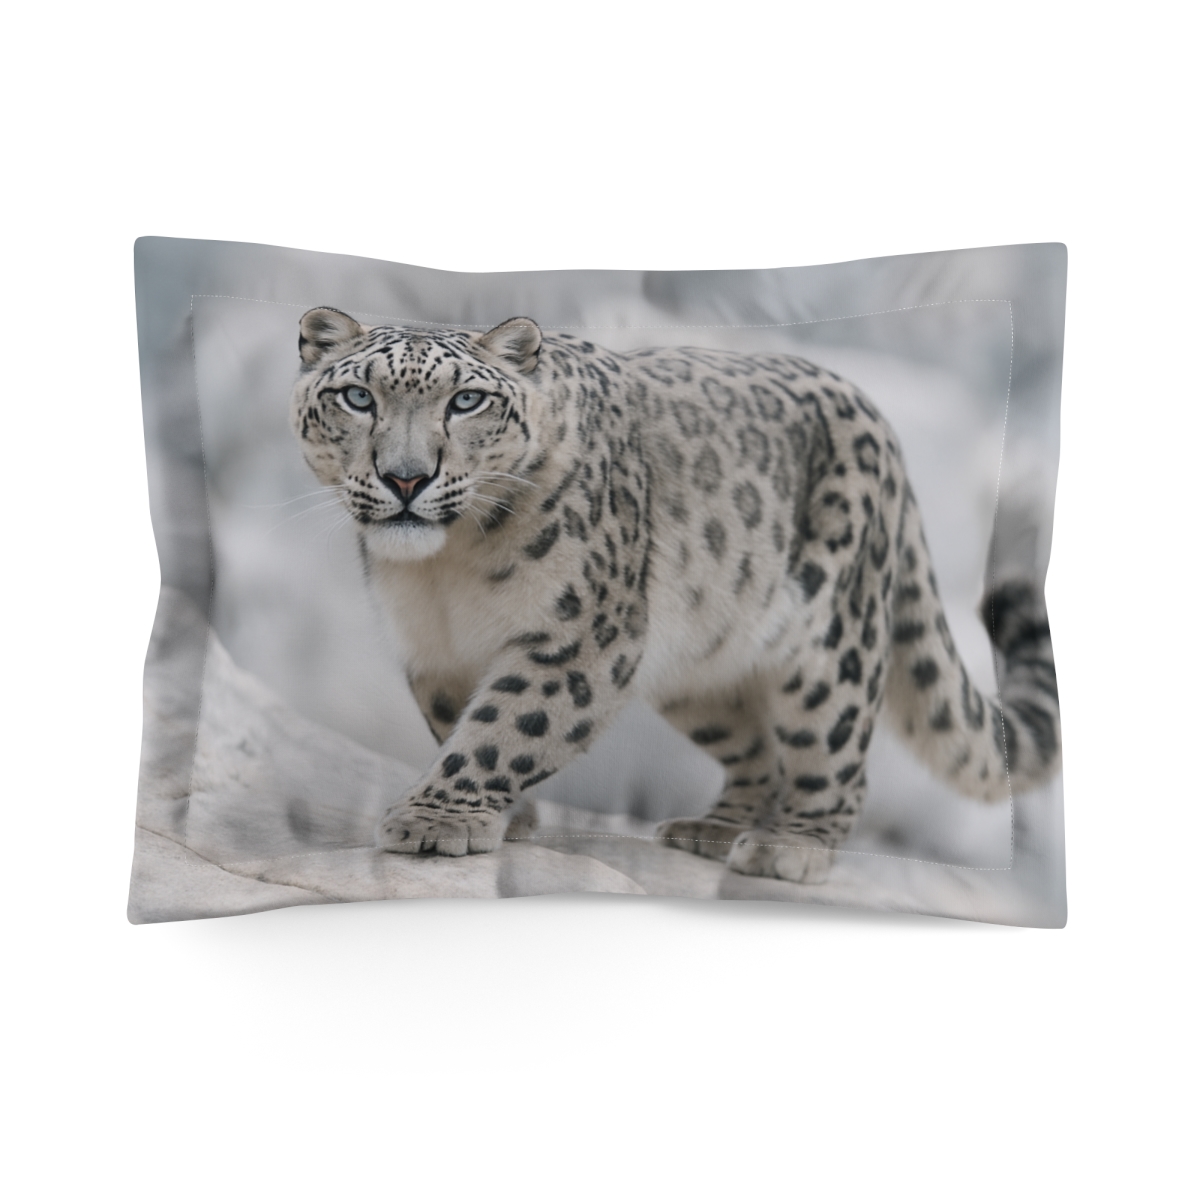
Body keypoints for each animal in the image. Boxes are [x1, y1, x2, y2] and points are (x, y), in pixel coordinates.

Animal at [289, 307, 1060, 883]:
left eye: (466, 400)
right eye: (358, 397)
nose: (406, 477)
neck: (444, 572)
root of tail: (878, 419)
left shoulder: (580, 639)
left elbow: (505, 729)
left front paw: (435, 822)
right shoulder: (436, 652)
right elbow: (462, 724)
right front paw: (503, 818)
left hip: (830, 646)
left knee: (832, 750)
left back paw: (790, 846)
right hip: (700, 672)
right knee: (756, 749)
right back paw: (711, 829)